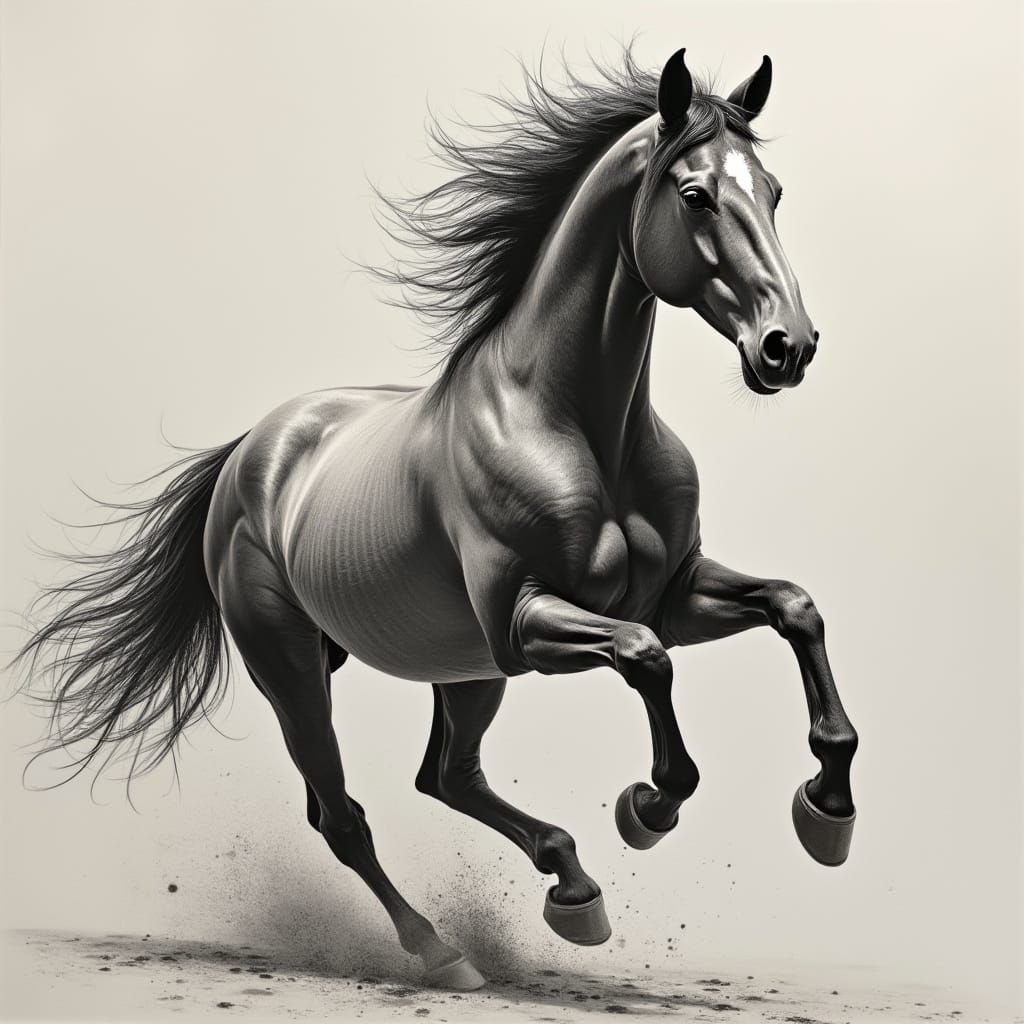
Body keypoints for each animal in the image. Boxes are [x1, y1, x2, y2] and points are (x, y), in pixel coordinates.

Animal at [14, 46, 858, 991]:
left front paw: (827, 812)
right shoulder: (527, 624)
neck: (579, 427)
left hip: (462, 669)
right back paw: (444, 949)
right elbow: (647, 663)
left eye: (774, 192)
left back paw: (572, 889)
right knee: (344, 816)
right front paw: (647, 807)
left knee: (446, 778)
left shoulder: (671, 594)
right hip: (296, 666)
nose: (788, 346)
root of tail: (250, 451)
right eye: (696, 195)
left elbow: (793, 606)